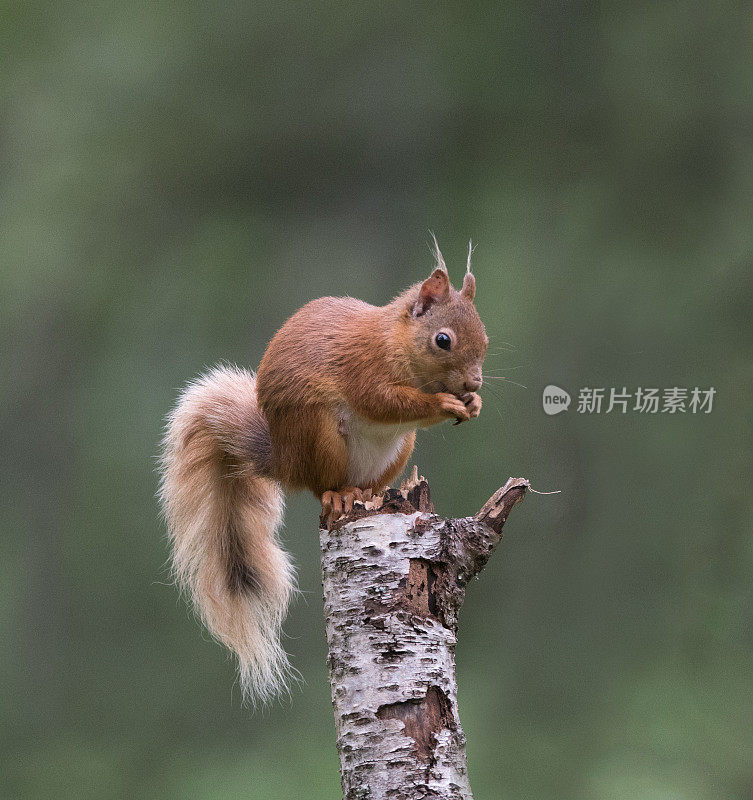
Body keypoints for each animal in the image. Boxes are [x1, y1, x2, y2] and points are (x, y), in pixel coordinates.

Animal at [159, 241, 488, 704]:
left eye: (485, 338)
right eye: (443, 340)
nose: (474, 383)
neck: (394, 342)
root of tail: (284, 459)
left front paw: (473, 405)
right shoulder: (364, 370)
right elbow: (384, 401)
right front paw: (445, 403)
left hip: (399, 448)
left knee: (373, 481)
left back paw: (371, 492)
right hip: (317, 434)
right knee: (320, 486)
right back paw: (341, 495)